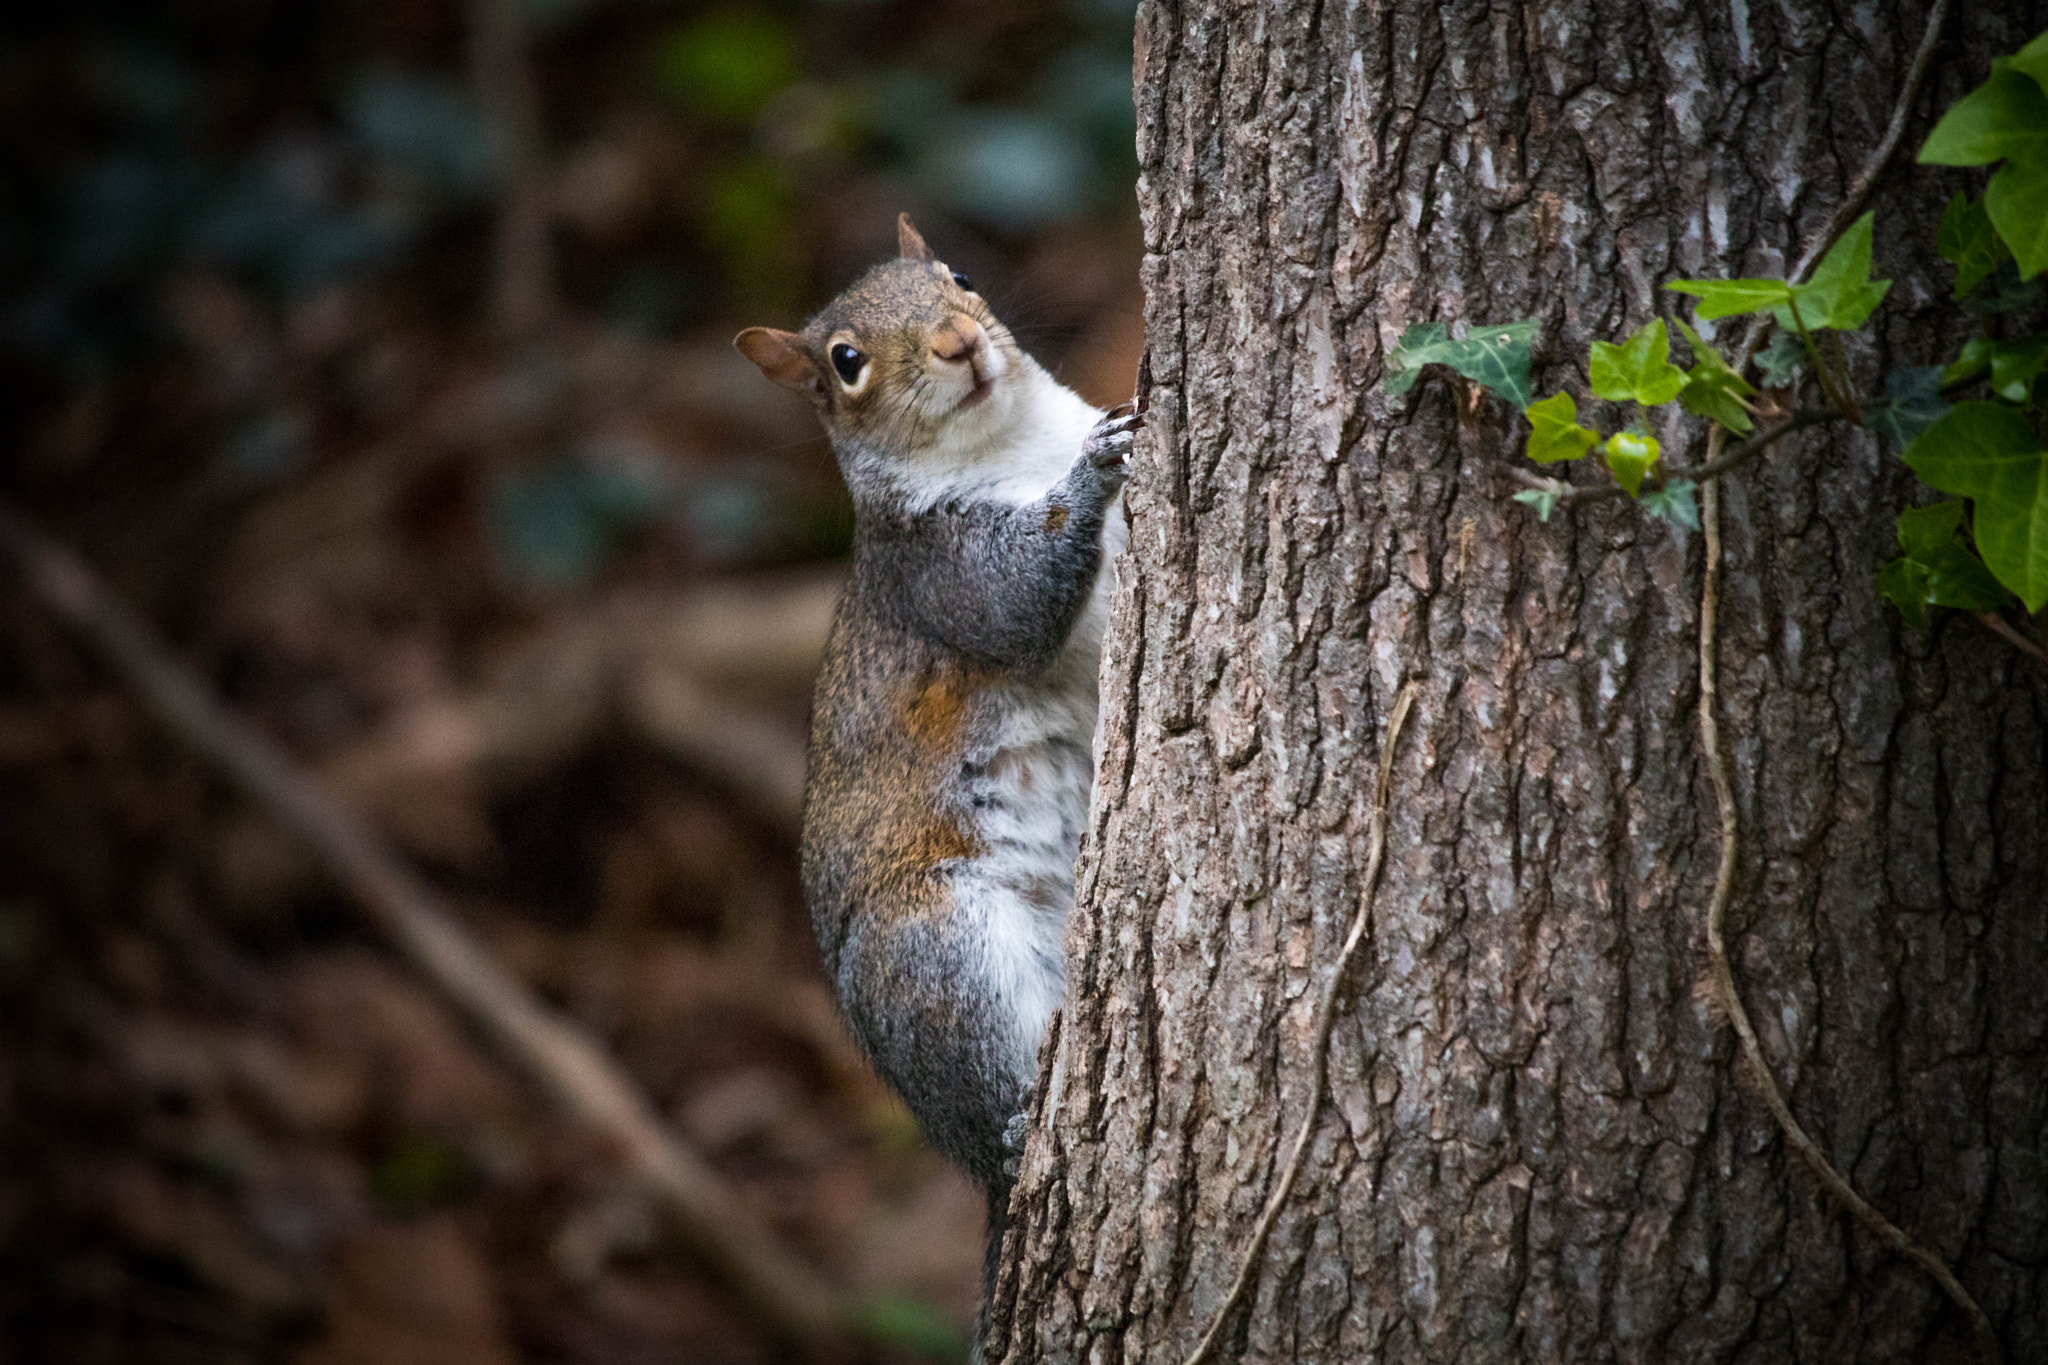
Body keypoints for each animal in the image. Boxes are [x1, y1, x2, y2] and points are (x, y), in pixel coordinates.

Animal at [735, 214, 1138, 1331]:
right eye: (845, 361)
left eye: (956, 274)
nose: (958, 340)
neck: (1013, 441)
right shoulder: (940, 572)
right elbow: (1019, 601)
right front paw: (1094, 472)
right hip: (941, 953)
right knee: (993, 1094)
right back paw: (1013, 1128)